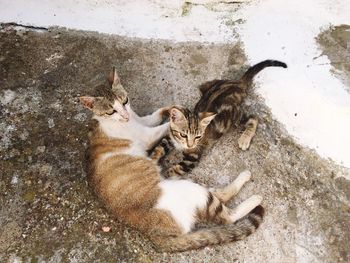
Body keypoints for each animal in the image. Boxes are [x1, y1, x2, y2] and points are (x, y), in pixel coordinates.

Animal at [79, 67, 264, 253]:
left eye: (125, 101)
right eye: (111, 111)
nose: (125, 115)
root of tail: (154, 236)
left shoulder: (142, 119)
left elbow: (156, 114)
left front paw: (173, 109)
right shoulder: (148, 134)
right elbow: (167, 127)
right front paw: (178, 121)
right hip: (191, 191)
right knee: (226, 213)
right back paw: (253, 194)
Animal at [150, 59, 288, 178]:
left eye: (198, 137)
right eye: (183, 135)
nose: (190, 145)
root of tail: (237, 83)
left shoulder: (192, 158)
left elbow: (175, 170)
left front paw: (160, 175)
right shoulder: (170, 137)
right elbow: (160, 147)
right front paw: (152, 159)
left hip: (233, 116)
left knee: (253, 117)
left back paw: (244, 139)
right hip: (205, 86)